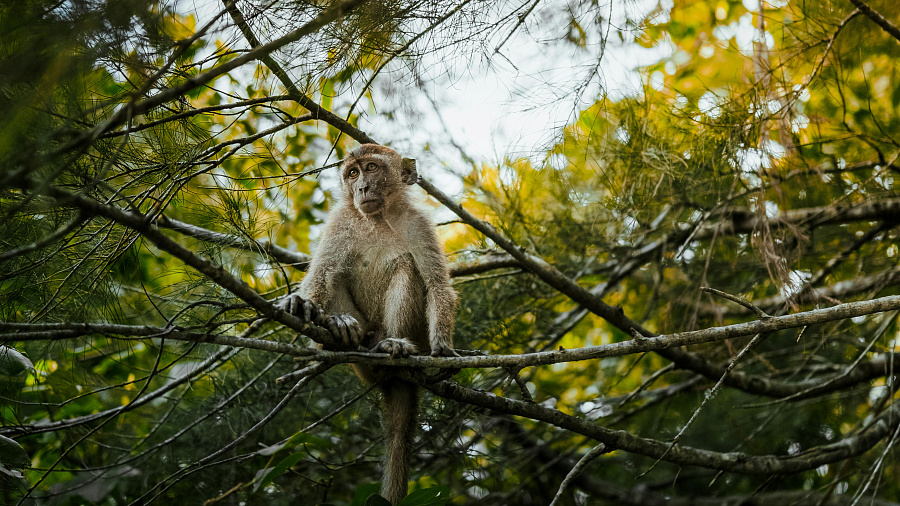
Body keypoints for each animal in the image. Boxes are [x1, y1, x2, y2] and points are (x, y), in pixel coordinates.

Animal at [284, 143, 458, 506]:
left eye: (372, 168)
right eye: (352, 173)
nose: (362, 188)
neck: (377, 218)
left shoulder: (418, 224)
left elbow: (436, 283)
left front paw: (443, 349)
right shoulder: (340, 222)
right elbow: (322, 272)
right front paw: (303, 304)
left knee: (407, 267)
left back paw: (394, 346)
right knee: (336, 274)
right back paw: (337, 330)